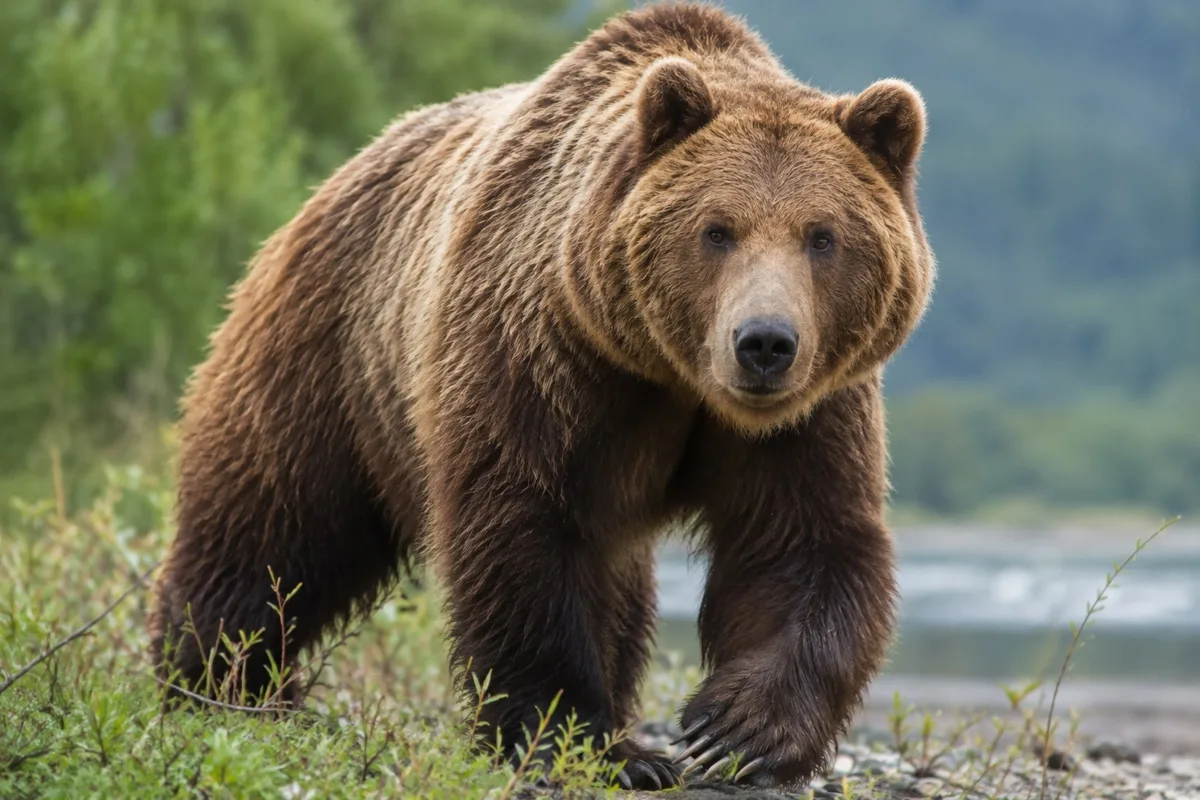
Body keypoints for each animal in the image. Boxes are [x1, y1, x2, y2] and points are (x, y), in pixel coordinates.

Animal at [148, 2, 934, 790]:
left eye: (821, 236)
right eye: (717, 230)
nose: (765, 342)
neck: (669, 372)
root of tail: (338, 177)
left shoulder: (809, 411)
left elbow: (801, 541)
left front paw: (736, 731)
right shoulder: (544, 357)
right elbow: (523, 529)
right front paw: (584, 740)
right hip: (328, 357)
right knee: (271, 523)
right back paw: (215, 678)